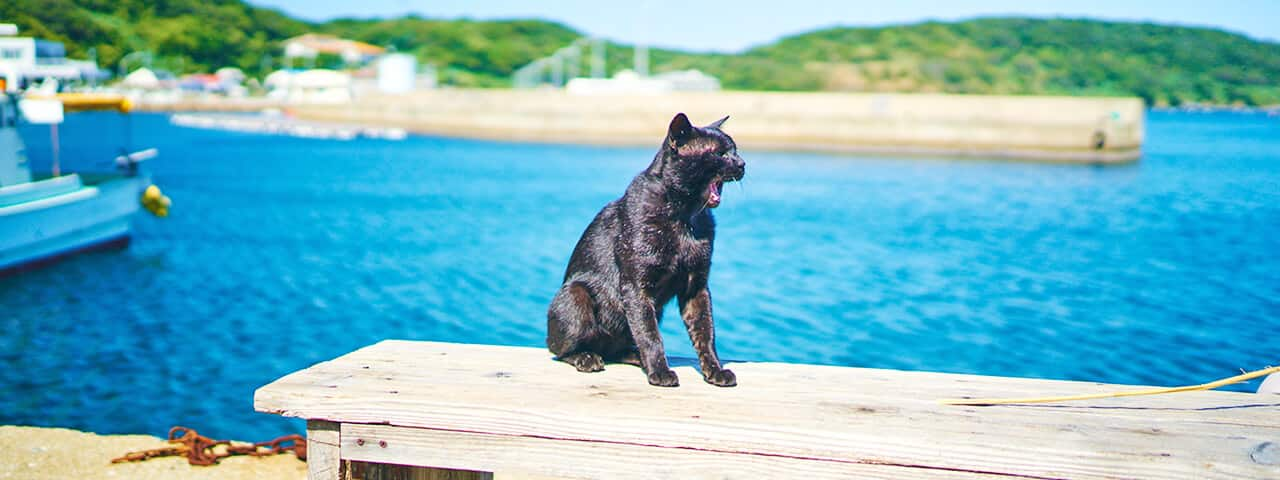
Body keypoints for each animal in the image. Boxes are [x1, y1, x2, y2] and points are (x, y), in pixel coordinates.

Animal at [545, 112, 747, 386]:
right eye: (720, 153)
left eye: (734, 149)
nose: (743, 163)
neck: (684, 216)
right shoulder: (636, 287)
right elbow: (650, 335)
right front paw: (660, 372)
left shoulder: (696, 287)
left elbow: (706, 334)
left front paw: (715, 371)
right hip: (576, 295)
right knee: (560, 349)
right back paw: (587, 358)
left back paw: (634, 356)